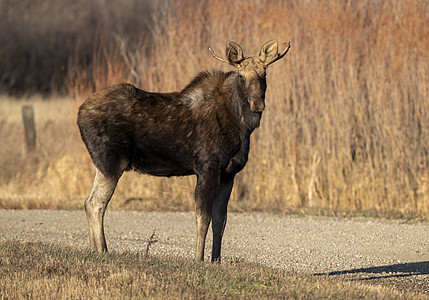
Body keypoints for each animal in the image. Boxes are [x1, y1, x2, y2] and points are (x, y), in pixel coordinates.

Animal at [77, 40, 290, 262]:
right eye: (241, 76)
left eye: (264, 74)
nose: (257, 104)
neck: (241, 126)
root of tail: (80, 113)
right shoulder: (207, 168)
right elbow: (203, 217)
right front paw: (199, 259)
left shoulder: (229, 174)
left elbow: (220, 220)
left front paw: (216, 260)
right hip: (111, 163)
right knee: (95, 203)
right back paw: (102, 249)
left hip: (102, 166)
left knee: (88, 201)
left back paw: (94, 249)